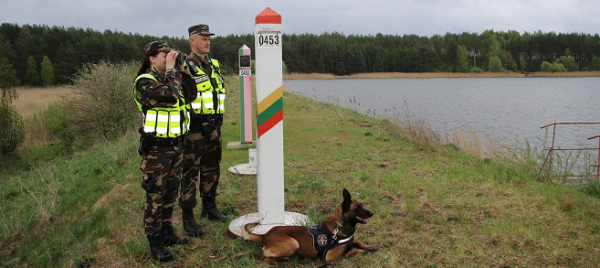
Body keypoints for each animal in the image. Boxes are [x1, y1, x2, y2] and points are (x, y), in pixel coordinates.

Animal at [243, 188, 376, 266]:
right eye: (358, 208)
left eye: (362, 205)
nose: (372, 213)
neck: (338, 226)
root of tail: (265, 235)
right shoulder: (330, 256)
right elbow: (352, 250)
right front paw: (362, 251)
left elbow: (357, 242)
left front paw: (369, 247)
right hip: (293, 243)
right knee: (268, 259)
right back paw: (284, 262)